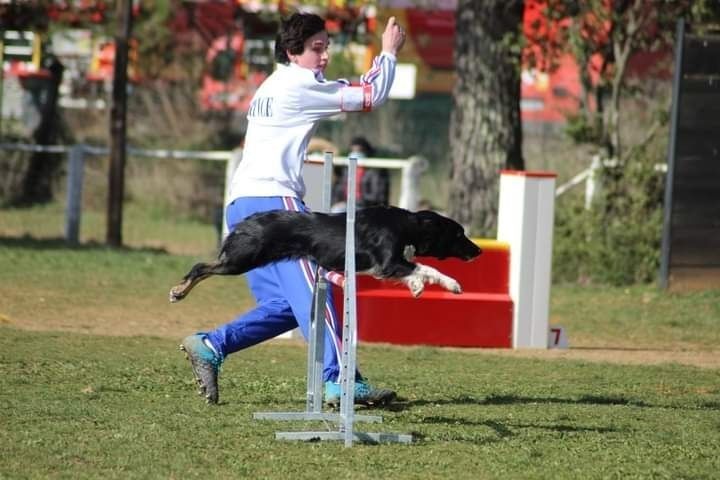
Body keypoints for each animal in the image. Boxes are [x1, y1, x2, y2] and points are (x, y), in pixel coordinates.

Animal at [169, 204, 480, 302]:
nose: (478, 250)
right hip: (241, 260)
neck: (406, 225)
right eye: (459, 234)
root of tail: (248, 220)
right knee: (200, 267)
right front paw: (452, 284)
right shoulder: (388, 262)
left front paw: (416, 287)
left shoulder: (392, 264)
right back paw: (178, 292)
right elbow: (428, 268)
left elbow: (417, 270)